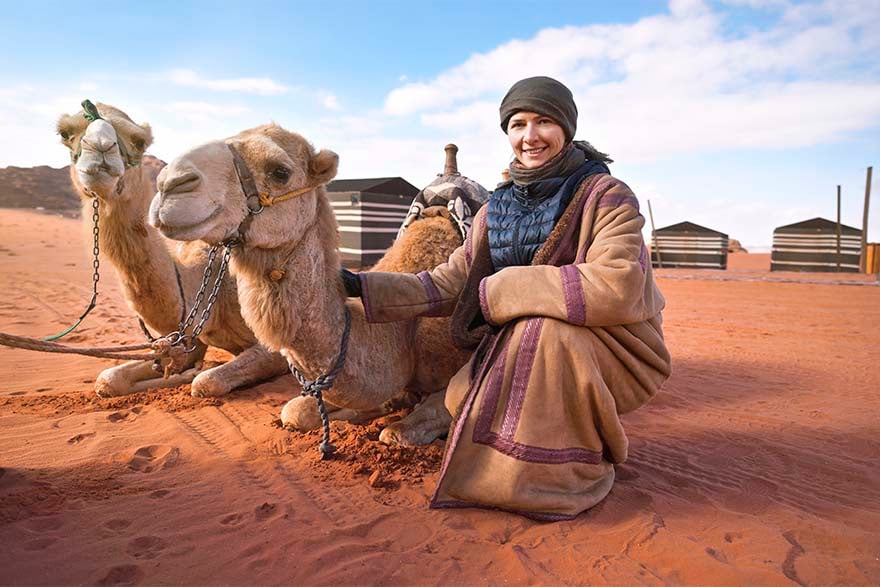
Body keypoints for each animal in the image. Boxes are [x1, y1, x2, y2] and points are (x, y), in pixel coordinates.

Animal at [55, 104, 288, 400]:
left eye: (139, 140)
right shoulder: (188, 338)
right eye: (65, 133)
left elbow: (206, 382)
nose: (100, 148)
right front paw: (182, 369)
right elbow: (108, 378)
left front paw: (193, 372)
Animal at [153, 125, 482, 446]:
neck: (402, 336)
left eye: (280, 172)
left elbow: (402, 430)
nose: (169, 183)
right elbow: (295, 410)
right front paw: (376, 407)